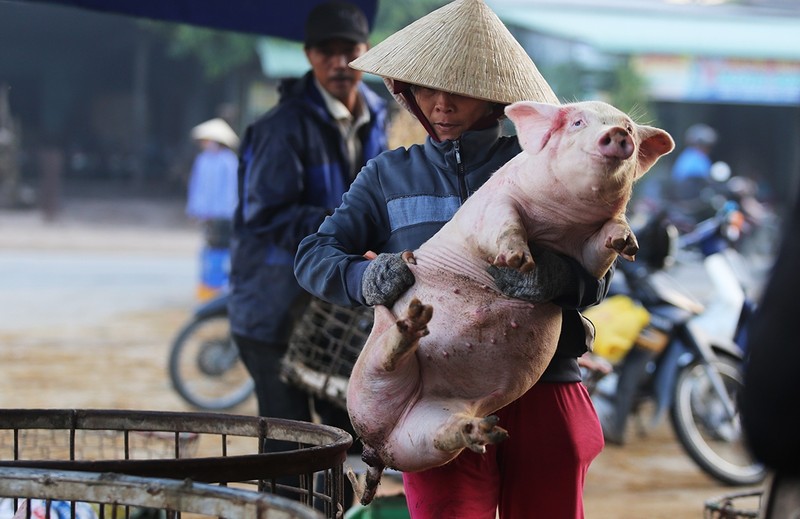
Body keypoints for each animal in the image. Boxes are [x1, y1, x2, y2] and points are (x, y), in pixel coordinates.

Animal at [346, 100, 672, 504]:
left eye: (627, 126)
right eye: (578, 122)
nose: (616, 133)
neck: (561, 223)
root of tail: (377, 446)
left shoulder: (585, 251)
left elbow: (600, 252)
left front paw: (627, 243)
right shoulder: (494, 204)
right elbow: (505, 222)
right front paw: (517, 261)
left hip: (424, 430)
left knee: (440, 434)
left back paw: (486, 431)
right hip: (363, 383)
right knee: (386, 357)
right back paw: (412, 317)